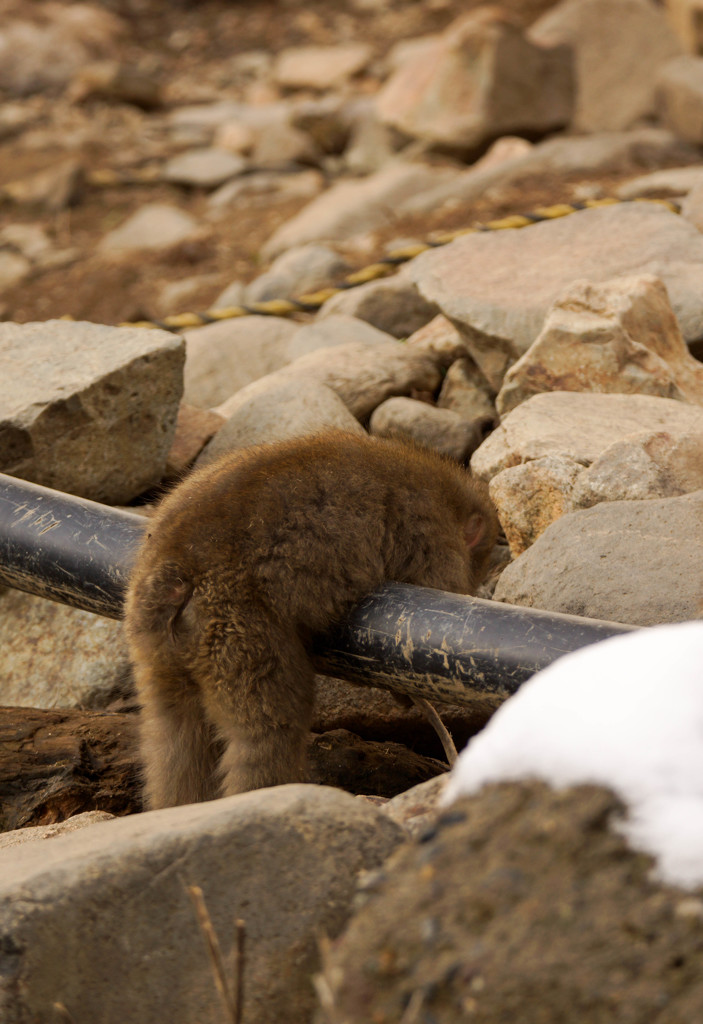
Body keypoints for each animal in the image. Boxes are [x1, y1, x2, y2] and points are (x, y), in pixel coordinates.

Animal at [126, 432, 501, 806]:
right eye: (478, 564)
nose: (477, 585)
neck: (447, 497)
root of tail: (173, 569)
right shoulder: (434, 539)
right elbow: (432, 590)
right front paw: (403, 694)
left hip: (158, 644)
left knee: (174, 733)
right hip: (236, 628)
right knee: (268, 730)